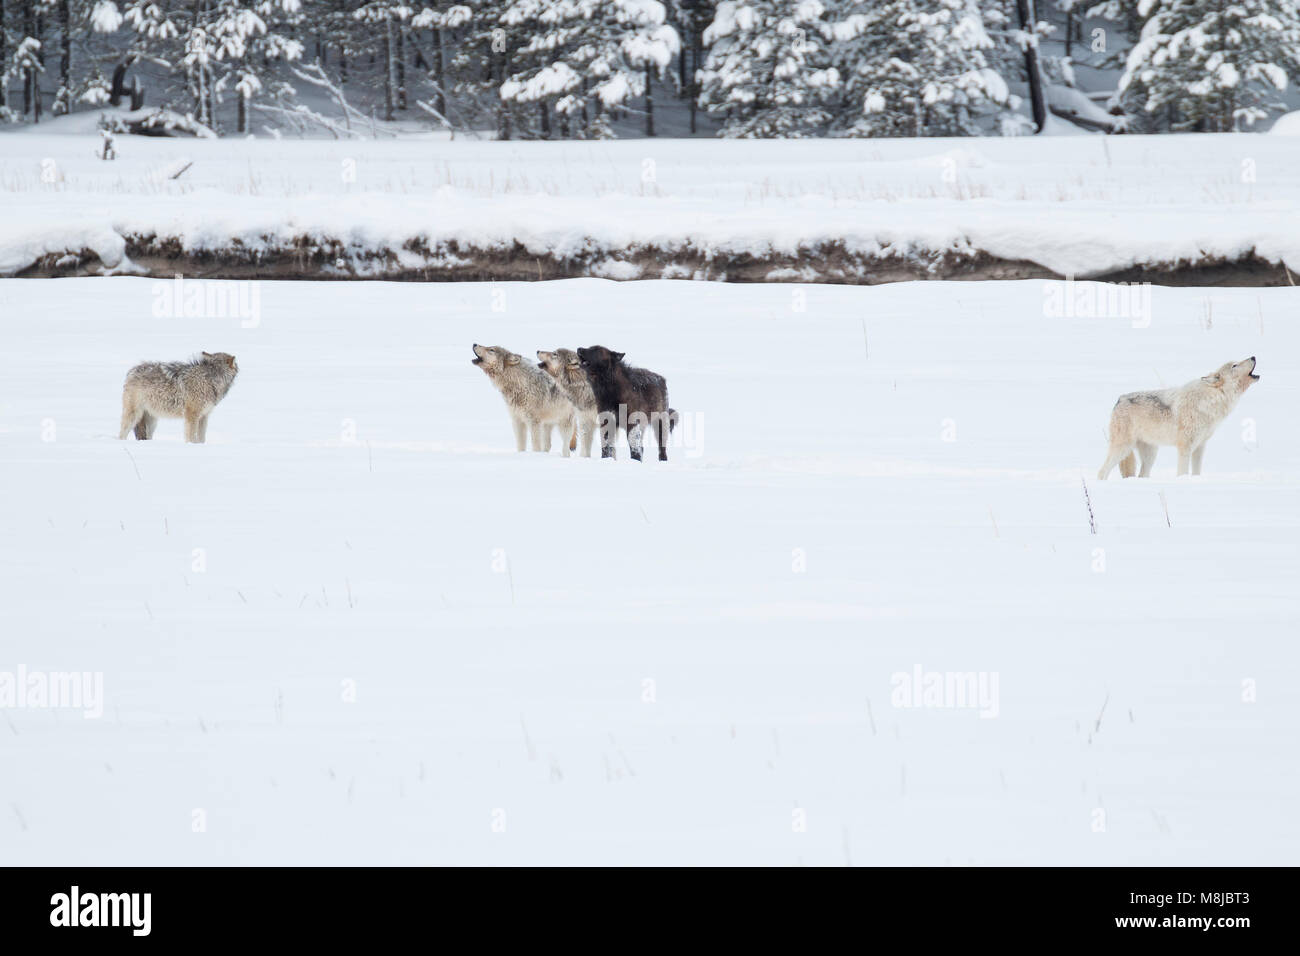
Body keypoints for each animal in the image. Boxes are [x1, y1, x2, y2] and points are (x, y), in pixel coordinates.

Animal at [1097, 356, 1258, 481]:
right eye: (1234, 365)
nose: (1253, 357)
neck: (1211, 400)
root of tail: (1119, 400)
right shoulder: (1184, 447)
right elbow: (1182, 472)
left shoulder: (1200, 447)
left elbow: (1196, 472)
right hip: (1123, 448)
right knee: (1102, 472)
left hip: (1150, 455)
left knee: (1142, 475)